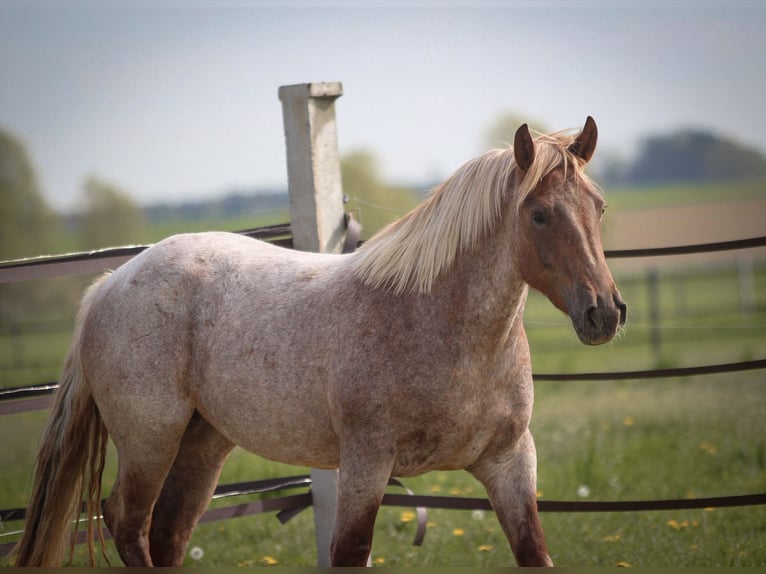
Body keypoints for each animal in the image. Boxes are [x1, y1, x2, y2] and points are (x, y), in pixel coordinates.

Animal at [15, 116, 626, 567]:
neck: (439, 326)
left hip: (203, 441)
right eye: (539, 214)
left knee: (167, 533)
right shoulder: (366, 466)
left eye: (598, 206)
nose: (604, 313)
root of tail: (110, 283)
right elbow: (349, 552)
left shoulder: (510, 462)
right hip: (150, 438)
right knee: (127, 522)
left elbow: (533, 551)